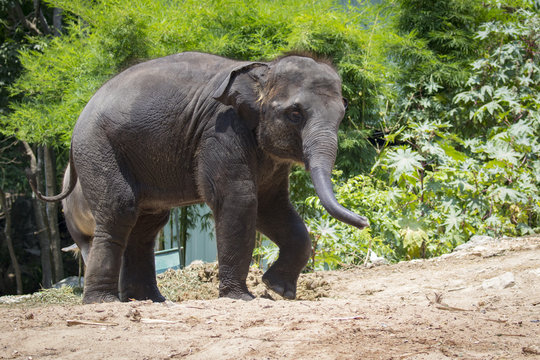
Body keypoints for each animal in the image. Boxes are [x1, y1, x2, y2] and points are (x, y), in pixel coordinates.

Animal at [29, 50, 370, 304]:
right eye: (295, 114)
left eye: (342, 115)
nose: (366, 221)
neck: (262, 71)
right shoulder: (220, 130)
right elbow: (240, 199)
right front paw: (242, 298)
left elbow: (273, 207)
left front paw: (277, 290)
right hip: (99, 147)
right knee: (119, 208)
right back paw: (105, 302)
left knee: (148, 224)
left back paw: (151, 301)